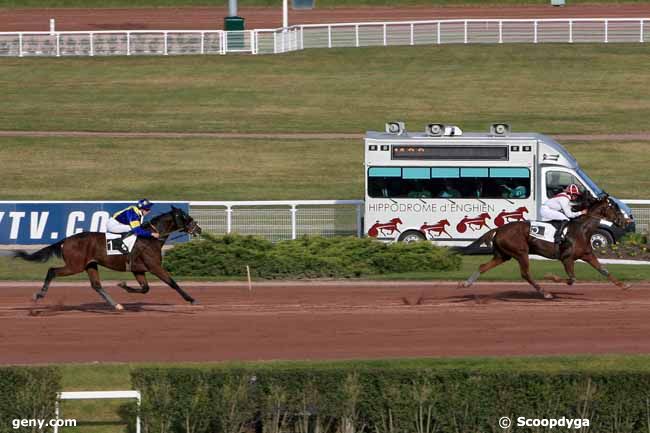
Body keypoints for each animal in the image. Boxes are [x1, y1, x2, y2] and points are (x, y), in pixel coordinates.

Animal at [15, 207, 202, 310]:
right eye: (186, 218)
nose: (198, 229)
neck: (150, 239)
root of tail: (66, 240)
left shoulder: (138, 269)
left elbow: (145, 288)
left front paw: (124, 285)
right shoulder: (154, 266)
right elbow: (172, 283)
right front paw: (192, 299)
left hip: (90, 265)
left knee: (96, 285)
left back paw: (116, 305)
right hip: (75, 265)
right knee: (52, 271)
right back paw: (39, 295)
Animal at [456, 195, 628, 298]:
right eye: (614, 207)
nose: (625, 221)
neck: (582, 229)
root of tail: (499, 229)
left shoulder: (587, 255)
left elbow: (604, 270)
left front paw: (623, 285)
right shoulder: (567, 258)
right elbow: (571, 279)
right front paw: (550, 277)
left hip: (503, 255)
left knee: (483, 266)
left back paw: (466, 283)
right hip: (521, 252)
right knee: (526, 274)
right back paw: (545, 293)